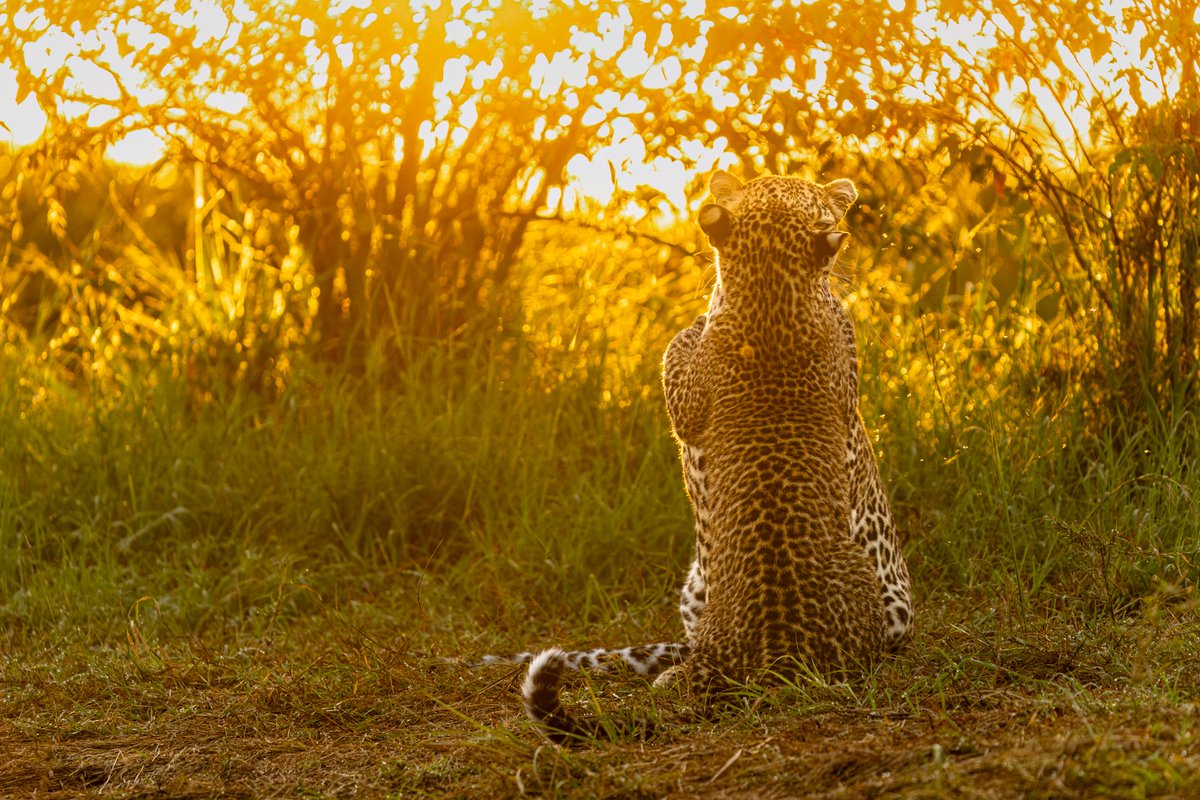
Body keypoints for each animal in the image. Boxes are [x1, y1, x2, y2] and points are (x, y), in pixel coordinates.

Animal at [508, 170, 912, 743]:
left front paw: (694, 326)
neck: (772, 291)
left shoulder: (689, 395)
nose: (843, 192)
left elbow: (678, 349)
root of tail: (777, 651)